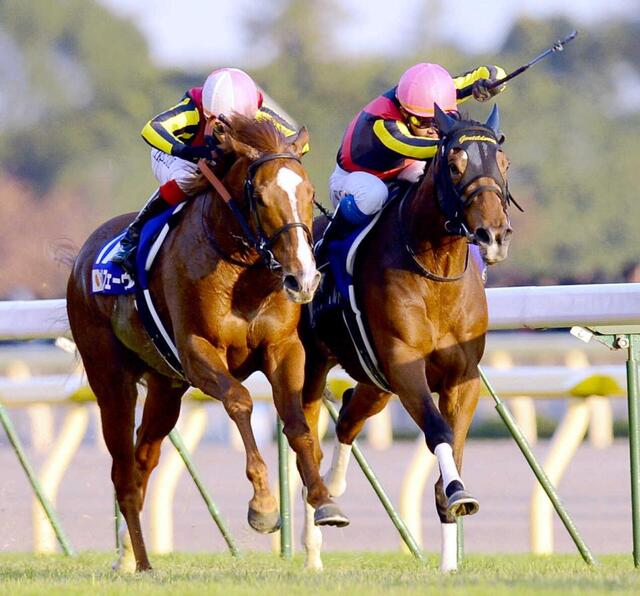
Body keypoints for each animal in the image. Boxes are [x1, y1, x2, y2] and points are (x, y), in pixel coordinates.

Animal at [66, 114, 348, 572]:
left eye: (308, 193)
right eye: (261, 197)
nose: (303, 279)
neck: (245, 273)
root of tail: (83, 257)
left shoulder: (285, 349)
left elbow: (297, 423)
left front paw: (325, 501)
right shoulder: (198, 352)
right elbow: (240, 402)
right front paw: (263, 506)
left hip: (166, 388)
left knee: (143, 461)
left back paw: (138, 559)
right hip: (111, 381)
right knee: (123, 471)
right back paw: (138, 562)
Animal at [299, 105, 515, 572]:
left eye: (503, 164)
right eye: (454, 165)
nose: (494, 235)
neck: (435, 272)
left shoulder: (462, 377)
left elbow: (454, 442)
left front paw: (450, 559)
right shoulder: (405, 366)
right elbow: (438, 431)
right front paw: (459, 493)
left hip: (375, 380)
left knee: (349, 416)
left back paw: (335, 488)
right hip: (312, 366)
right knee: (304, 436)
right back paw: (314, 542)